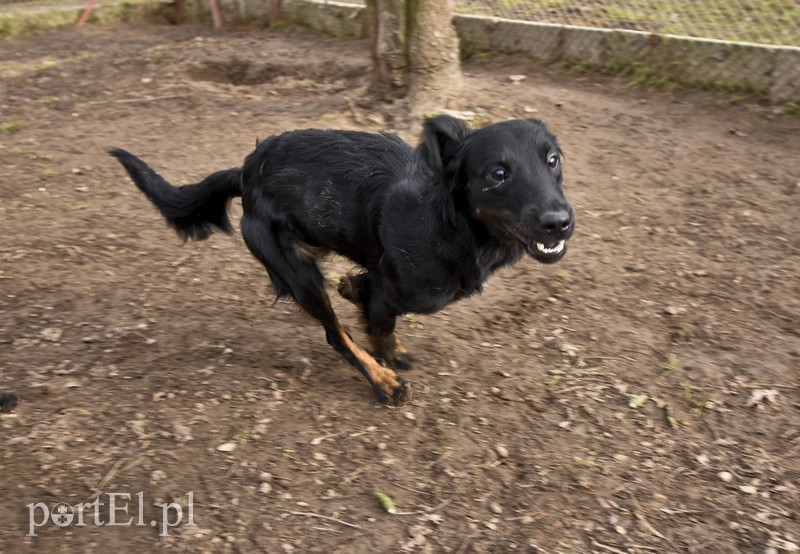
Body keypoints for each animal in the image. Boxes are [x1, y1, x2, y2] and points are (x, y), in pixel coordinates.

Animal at [111, 114, 576, 404]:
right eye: (498, 174)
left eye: (553, 160)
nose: (560, 223)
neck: (449, 221)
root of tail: (244, 171)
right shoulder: (393, 291)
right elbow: (380, 329)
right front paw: (384, 358)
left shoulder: (379, 276)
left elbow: (364, 297)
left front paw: (356, 294)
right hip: (300, 277)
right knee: (335, 336)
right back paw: (383, 384)